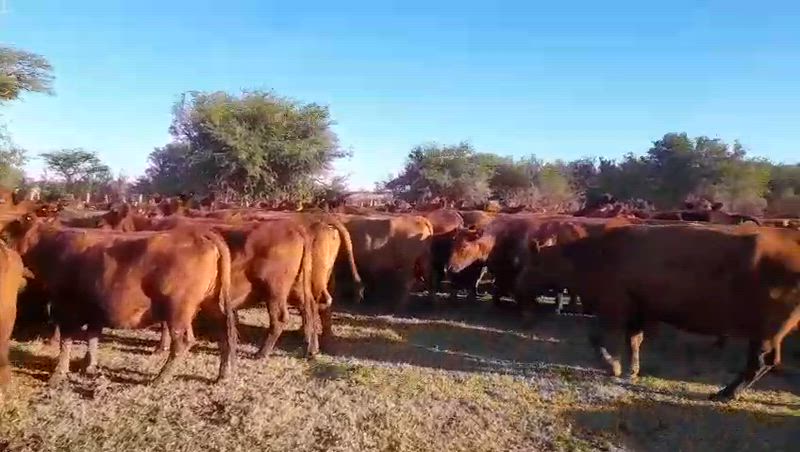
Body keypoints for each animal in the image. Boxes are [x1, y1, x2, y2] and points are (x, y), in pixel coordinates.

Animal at [2, 214, 237, 386]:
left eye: (5, 235)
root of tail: (201, 234)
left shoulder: (66, 306)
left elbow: (66, 341)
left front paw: (58, 374)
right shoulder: (94, 306)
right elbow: (93, 336)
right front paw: (89, 366)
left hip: (178, 310)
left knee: (183, 342)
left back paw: (160, 379)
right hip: (211, 303)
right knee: (224, 334)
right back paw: (222, 375)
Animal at [514, 224, 800, 401]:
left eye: (531, 264)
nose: (519, 285)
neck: (596, 254)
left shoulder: (614, 307)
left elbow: (597, 338)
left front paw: (613, 366)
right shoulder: (639, 310)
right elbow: (634, 341)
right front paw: (632, 370)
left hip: (766, 331)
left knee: (760, 361)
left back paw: (726, 393)